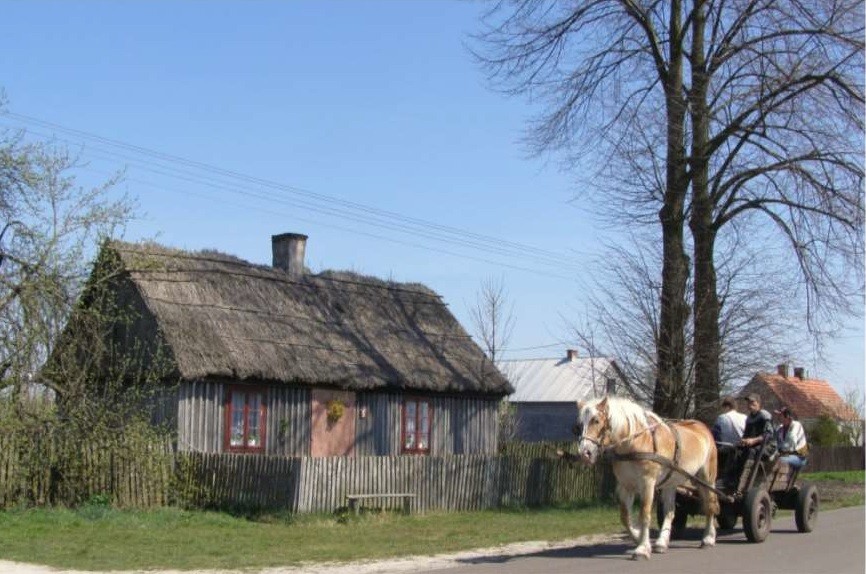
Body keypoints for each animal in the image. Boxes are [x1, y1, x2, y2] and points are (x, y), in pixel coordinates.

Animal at [576, 396, 719, 560]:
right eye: (579, 424)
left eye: (596, 421)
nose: (584, 453)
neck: (635, 443)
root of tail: (702, 427)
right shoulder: (625, 485)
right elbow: (625, 517)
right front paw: (638, 537)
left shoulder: (647, 483)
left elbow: (644, 514)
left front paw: (642, 549)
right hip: (670, 483)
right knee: (670, 511)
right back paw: (662, 543)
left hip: (707, 478)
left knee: (710, 505)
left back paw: (708, 538)